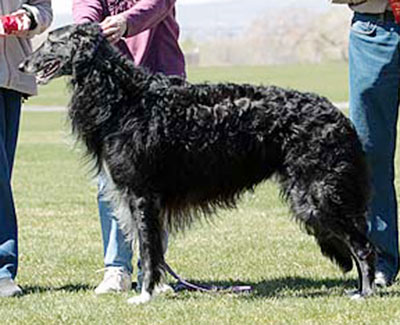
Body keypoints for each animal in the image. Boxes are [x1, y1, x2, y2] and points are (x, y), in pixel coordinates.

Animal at [20, 24, 376, 302]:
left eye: (51, 41)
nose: (24, 64)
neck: (126, 97)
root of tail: (338, 116)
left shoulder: (142, 194)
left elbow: (148, 251)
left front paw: (145, 295)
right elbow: (152, 251)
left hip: (318, 195)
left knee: (363, 246)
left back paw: (367, 292)